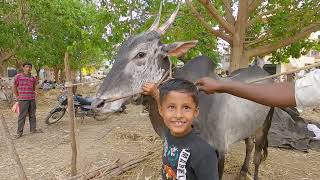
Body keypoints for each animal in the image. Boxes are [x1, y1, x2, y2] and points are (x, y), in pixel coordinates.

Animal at [92, 3, 276, 180]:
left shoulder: (220, 151)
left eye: (140, 54)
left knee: (257, 155)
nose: (97, 104)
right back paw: (243, 171)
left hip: (264, 126)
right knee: (249, 145)